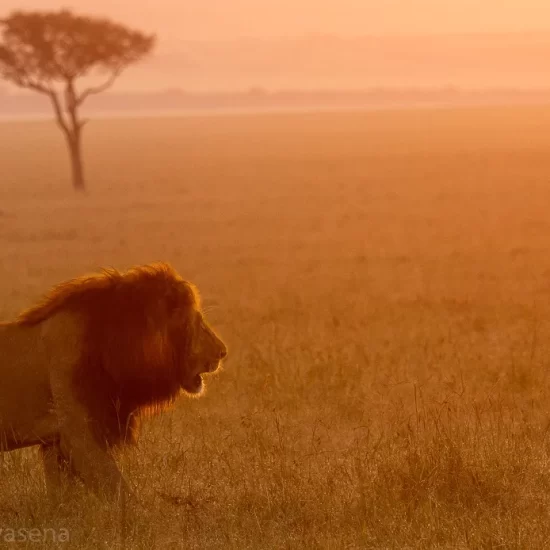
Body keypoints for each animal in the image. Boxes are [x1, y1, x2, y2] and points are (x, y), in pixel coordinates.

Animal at [0, 264, 229, 500]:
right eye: (198, 322)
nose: (223, 352)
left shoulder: (54, 442)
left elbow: (62, 496)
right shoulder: (79, 434)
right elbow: (120, 491)